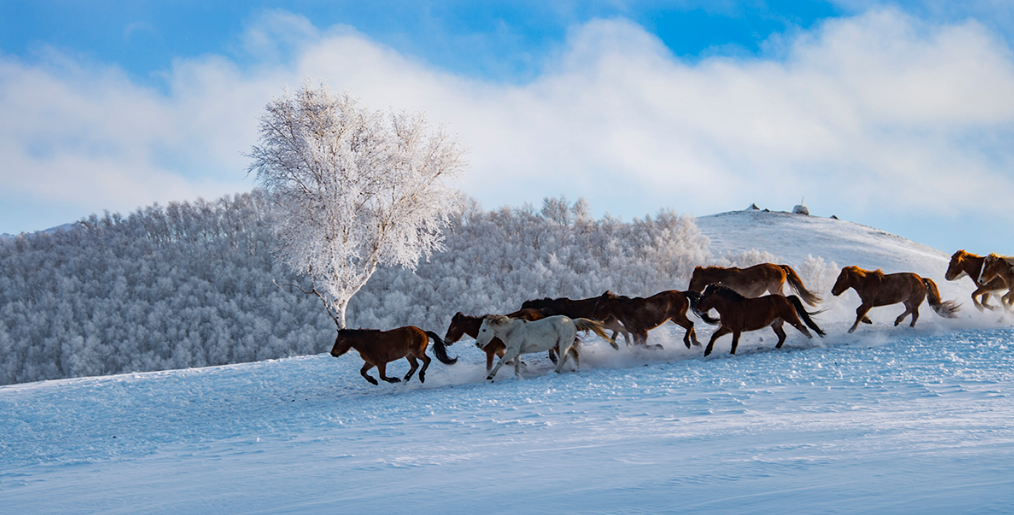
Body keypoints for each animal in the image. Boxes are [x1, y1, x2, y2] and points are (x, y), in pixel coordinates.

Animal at [328, 328, 456, 385]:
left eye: (341, 340)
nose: (333, 353)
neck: (367, 343)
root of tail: (424, 332)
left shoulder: (381, 363)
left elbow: (382, 377)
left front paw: (395, 380)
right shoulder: (370, 363)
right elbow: (362, 372)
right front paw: (373, 381)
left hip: (417, 353)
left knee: (427, 360)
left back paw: (420, 377)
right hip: (409, 355)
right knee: (415, 365)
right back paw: (406, 378)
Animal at [472, 312, 608, 381]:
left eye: (484, 330)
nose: (477, 344)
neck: (511, 330)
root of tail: (572, 321)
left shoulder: (512, 350)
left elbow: (501, 362)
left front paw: (490, 376)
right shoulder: (517, 353)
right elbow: (517, 366)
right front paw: (517, 377)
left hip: (563, 345)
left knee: (564, 358)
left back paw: (556, 372)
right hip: (564, 345)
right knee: (575, 354)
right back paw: (576, 369)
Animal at [693, 283, 827, 356]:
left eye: (706, 297)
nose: (697, 310)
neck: (730, 306)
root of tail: (787, 299)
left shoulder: (736, 329)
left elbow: (734, 343)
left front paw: (731, 354)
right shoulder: (727, 328)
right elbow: (714, 336)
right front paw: (707, 351)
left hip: (791, 318)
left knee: (803, 328)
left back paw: (813, 343)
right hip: (776, 324)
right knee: (782, 336)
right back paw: (776, 348)